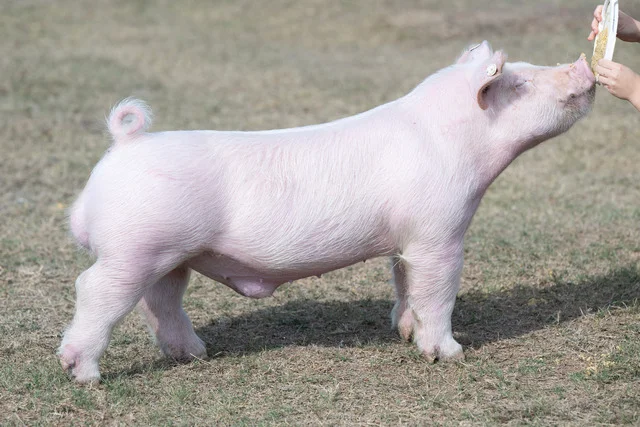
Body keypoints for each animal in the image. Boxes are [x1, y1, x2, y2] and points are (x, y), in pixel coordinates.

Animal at [59, 41, 595, 382]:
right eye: (520, 82)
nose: (583, 64)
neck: (455, 143)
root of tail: (125, 144)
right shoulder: (439, 231)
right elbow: (437, 291)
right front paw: (450, 356)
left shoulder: (405, 241)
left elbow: (405, 283)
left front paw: (403, 332)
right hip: (134, 248)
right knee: (95, 290)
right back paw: (85, 375)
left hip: (171, 255)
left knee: (161, 301)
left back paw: (196, 355)